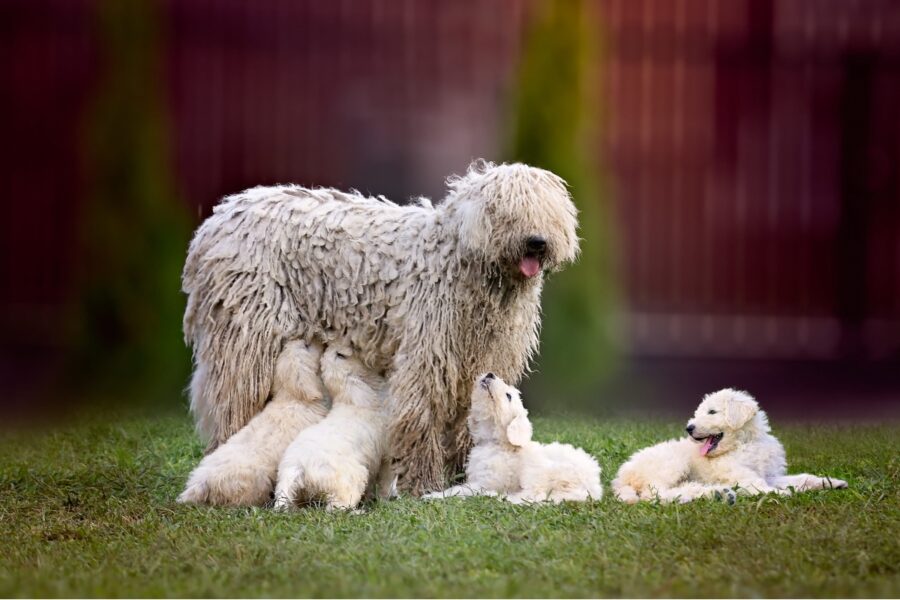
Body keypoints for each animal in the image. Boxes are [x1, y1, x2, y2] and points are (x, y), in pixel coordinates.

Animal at [424, 372, 604, 504]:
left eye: (508, 396)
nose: (490, 374)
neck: (495, 443)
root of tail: (593, 489)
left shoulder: (485, 481)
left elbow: (458, 490)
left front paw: (433, 496)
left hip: (540, 470)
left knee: (533, 495)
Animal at [608, 386, 848, 504]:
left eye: (712, 412)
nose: (689, 428)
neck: (744, 443)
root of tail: (623, 475)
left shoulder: (769, 474)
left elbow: (799, 478)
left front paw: (832, 482)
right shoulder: (740, 475)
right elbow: (758, 485)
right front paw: (780, 494)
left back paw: (717, 493)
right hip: (671, 463)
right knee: (655, 493)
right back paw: (707, 493)